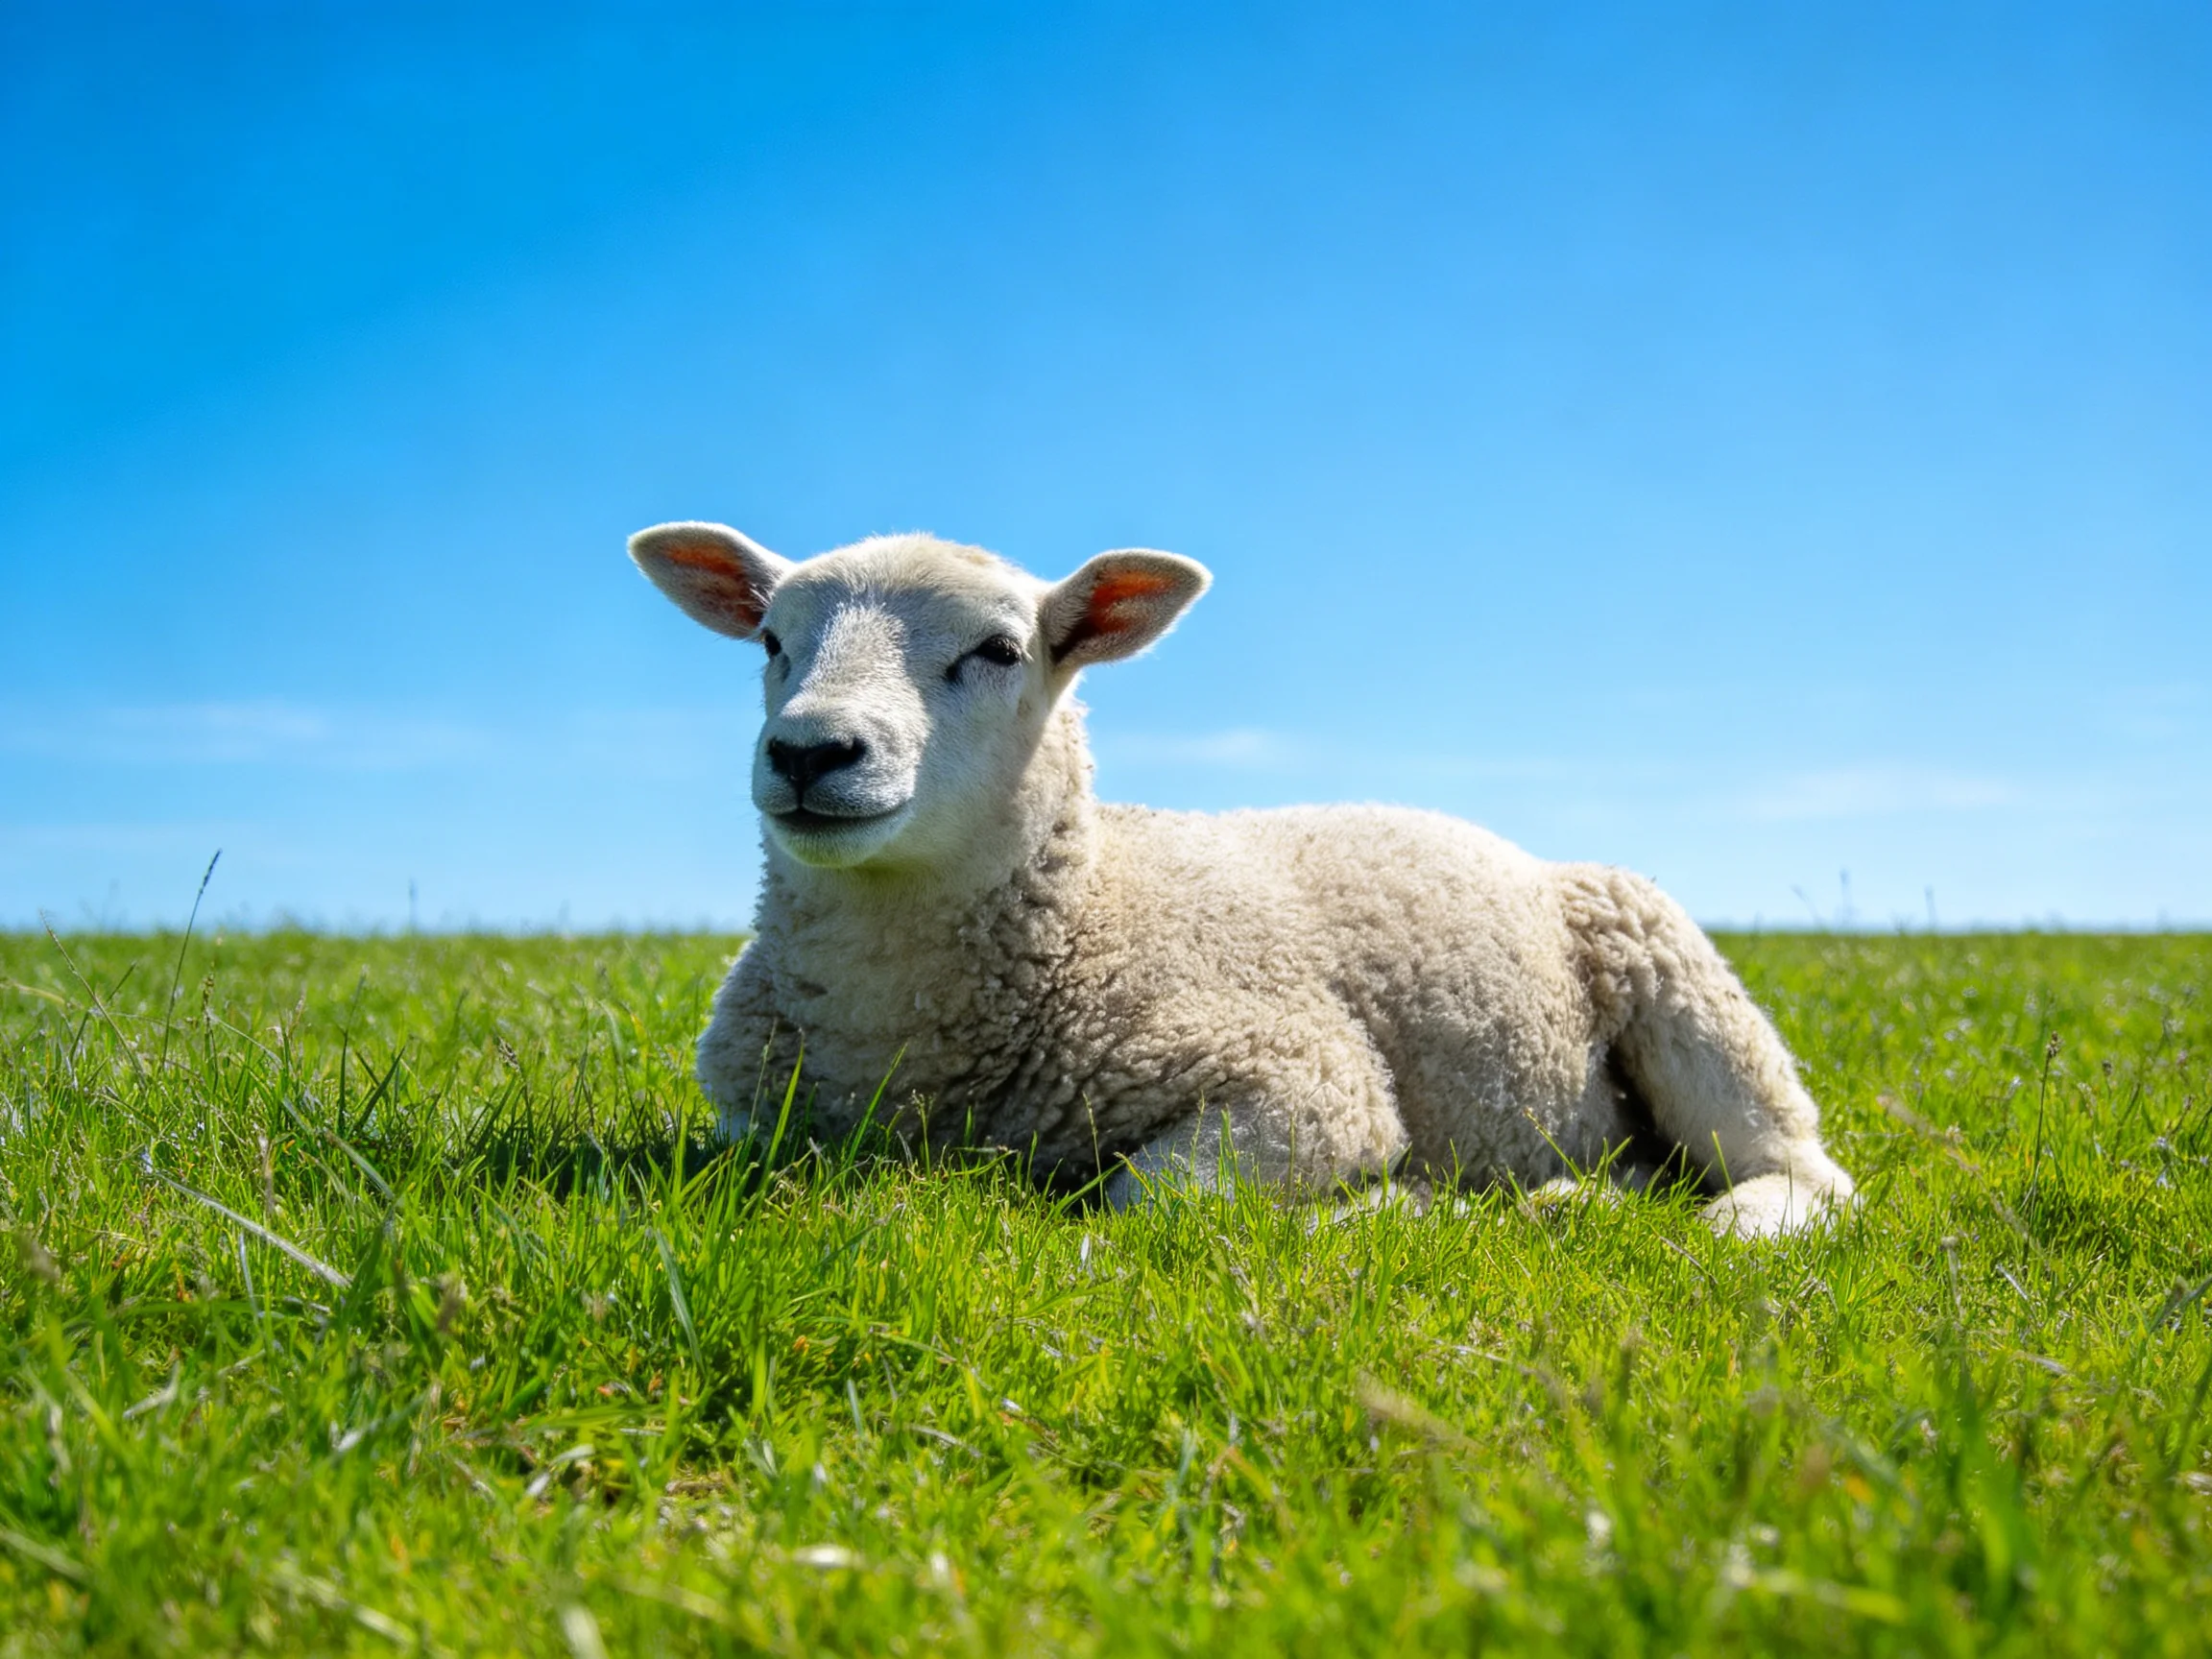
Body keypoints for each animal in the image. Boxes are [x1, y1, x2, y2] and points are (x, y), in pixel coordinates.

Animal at [627, 521, 1856, 1237]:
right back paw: (1578, 1192)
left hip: (1675, 973)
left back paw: (1729, 1219)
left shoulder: (1308, 1077)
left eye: (1000, 651)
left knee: (1799, 1168)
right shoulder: (753, 1122)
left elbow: (1146, 1202)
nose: (810, 752)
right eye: (771, 641)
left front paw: (1388, 1206)